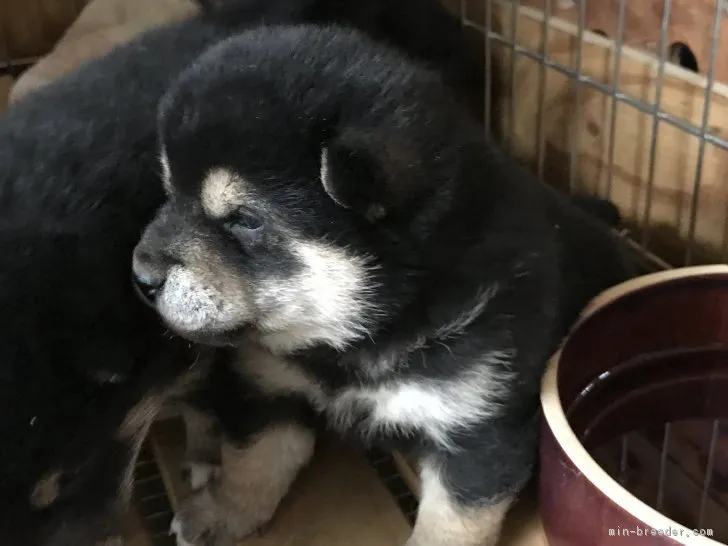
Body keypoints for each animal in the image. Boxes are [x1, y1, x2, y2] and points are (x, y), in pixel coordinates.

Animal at [134, 23, 636, 544]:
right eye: (170, 193)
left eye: (246, 219)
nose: (141, 276)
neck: (357, 343)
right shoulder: (267, 384)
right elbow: (254, 461)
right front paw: (220, 512)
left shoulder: (480, 427)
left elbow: (450, 522)